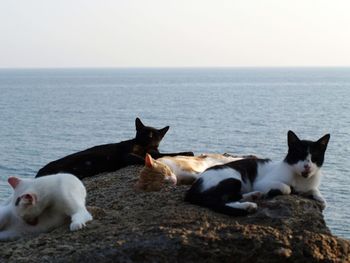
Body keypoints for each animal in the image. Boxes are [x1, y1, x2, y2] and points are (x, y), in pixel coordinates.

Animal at [35, 119, 194, 179]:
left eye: (154, 135)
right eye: (143, 132)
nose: (148, 137)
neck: (144, 148)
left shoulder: (154, 152)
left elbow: (167, 154)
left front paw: (187, 152)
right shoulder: (127, 154)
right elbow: (146, 157)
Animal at [186, 131, 330, 217]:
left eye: (315, 158)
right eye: (299, 155)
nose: (307, 166)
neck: (301, 178)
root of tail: (192, 189)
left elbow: (315, 191)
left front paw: (320, 199)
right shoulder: (261, 183)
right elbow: (287, 188)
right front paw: (279, 191)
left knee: (233, 197)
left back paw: (253, 196)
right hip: (233, 179)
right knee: (217, 201)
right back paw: (248, 205)